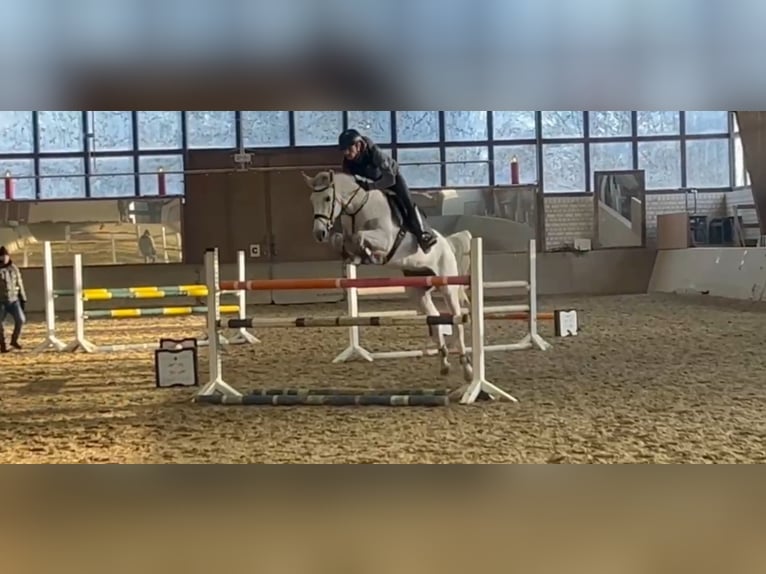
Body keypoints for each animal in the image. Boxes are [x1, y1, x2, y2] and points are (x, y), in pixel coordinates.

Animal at [302, 170, 474, 384]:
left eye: (327, 198)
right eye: (311, 200)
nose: (319, 233)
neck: (358, 208)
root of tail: (447, 244)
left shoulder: (385, 239)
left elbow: (360, 237)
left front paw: (368, 254)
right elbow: (340, 239)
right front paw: (355, 256)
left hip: (447, 286)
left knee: (457, 322)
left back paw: (467, 369)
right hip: (418, 291)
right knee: (434, 319)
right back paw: (444, 364)